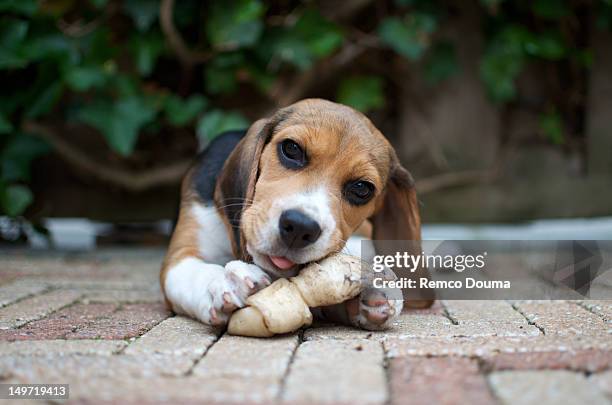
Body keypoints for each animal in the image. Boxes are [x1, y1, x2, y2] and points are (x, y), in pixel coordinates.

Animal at [160, 98, 432, 332]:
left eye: (361, 189)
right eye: (291, 149)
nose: (300, 227)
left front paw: (370, 292)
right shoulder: (180, 256)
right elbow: (197, 272)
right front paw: (226, 281)